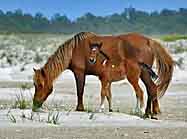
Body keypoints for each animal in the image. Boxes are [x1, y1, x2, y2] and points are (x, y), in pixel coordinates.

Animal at [32, 31, 174, 118]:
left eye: (39, 85)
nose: (34, 105)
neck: (74, 50)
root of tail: (149, 41)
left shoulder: (79, 73)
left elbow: (80, 91)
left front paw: (80, 108)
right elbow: (106, 94)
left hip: (143, 74)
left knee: (150, 89)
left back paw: (146, 112)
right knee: (152, 89)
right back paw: (153, 112)